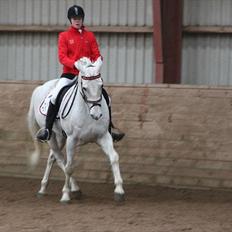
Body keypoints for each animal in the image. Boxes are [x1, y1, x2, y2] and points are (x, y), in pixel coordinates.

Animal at [27, 62, 125, 202]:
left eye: (101, 86)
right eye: (84, 88)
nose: (96, 114)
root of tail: (40, 88)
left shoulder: (104, 136)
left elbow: (114, 157)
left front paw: (119, 190)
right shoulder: (72, 139)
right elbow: (69, 166)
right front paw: (65, 195)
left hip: (61, 137)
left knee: (53, 157)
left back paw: (44, 188)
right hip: (52, 137)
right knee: (61, 160)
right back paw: (71, 188)